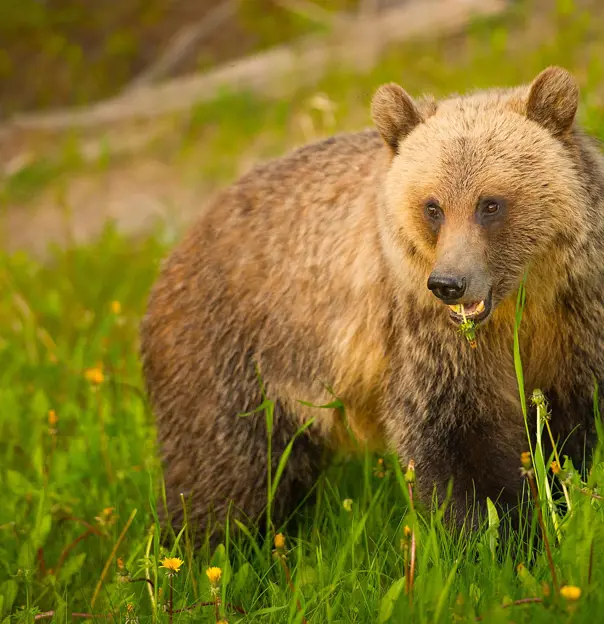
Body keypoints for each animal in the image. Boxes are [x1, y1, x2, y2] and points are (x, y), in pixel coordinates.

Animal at [139, 67, 604, 540]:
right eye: (433, 207)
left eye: (490, 204)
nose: (449, 284)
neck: (522, 303)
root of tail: (174, 253)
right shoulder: (427, 335)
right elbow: (456, 436)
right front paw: (498, 531)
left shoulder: (576, 316)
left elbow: (575, 424)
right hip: (231, 355)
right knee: (226, 471)